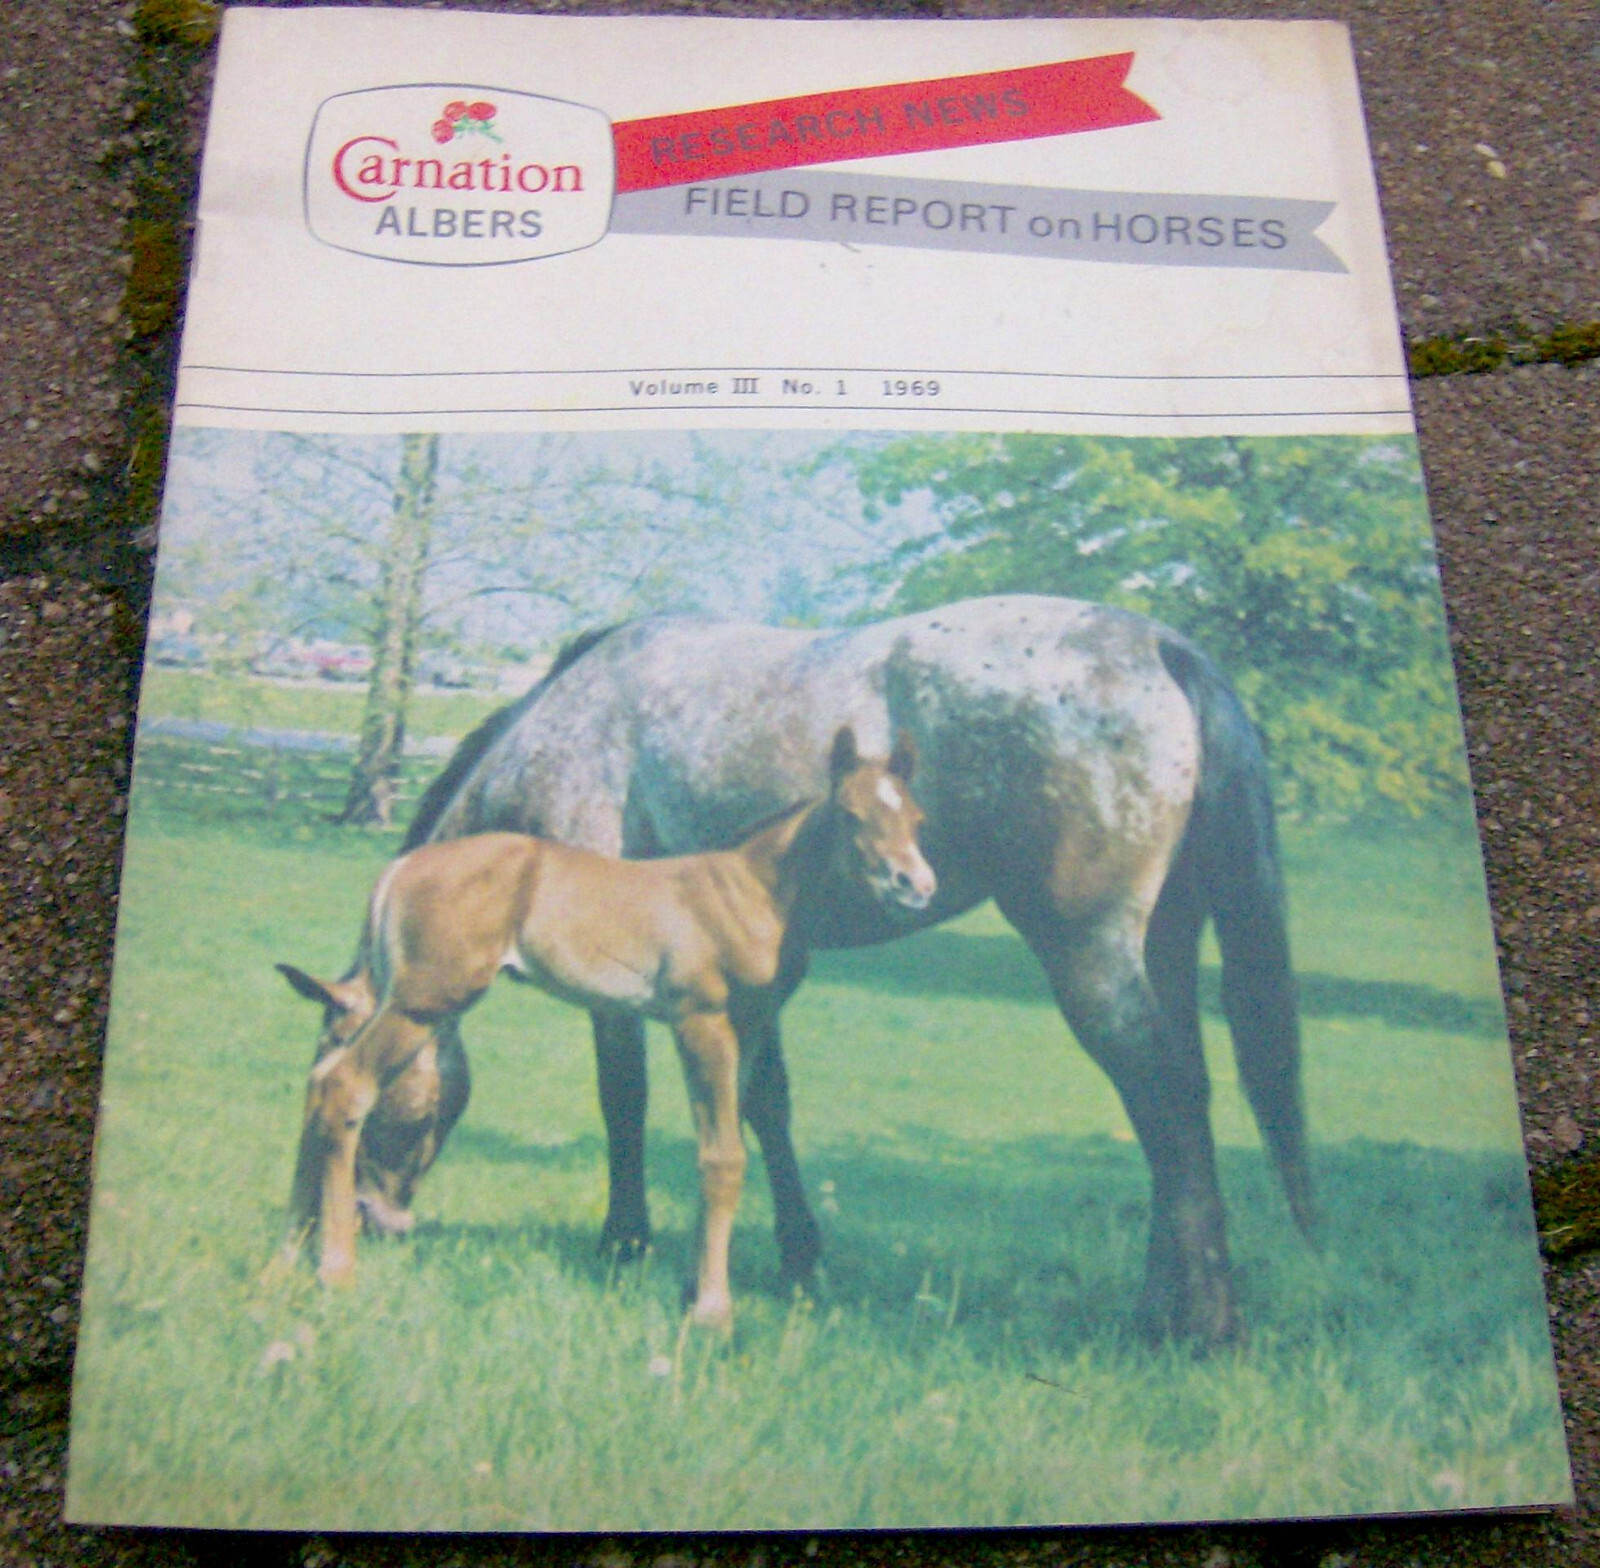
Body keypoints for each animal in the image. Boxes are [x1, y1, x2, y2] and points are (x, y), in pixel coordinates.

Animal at [276, 727, 934, 1326]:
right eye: (851, 815)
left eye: (917, 818)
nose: (916, 885)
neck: (752, 892)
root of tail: (400, 869)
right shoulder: (701, 1025)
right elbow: (722, 1157)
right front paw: (712, 1311)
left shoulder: (747, 1031)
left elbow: (736, 1135)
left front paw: (693, 1289)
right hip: (424, 1001)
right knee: (346, 1087)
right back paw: (334, 1270)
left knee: (321, 1081)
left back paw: (287, 1259)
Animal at [396, 593, 1311, 1345]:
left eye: (390, 1096)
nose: (378, 1221)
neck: (563, 726)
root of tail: (1163, 647)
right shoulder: (751, 980)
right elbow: (767, 1104)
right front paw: (801, 1257)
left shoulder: (618, 984)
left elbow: (623, 1100)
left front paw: (624, 1243)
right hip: (1164, 944)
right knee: (1179, 1106)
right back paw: (1166, 1306)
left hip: (1087, 951)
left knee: (1165, 1097)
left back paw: (1201, 1325)